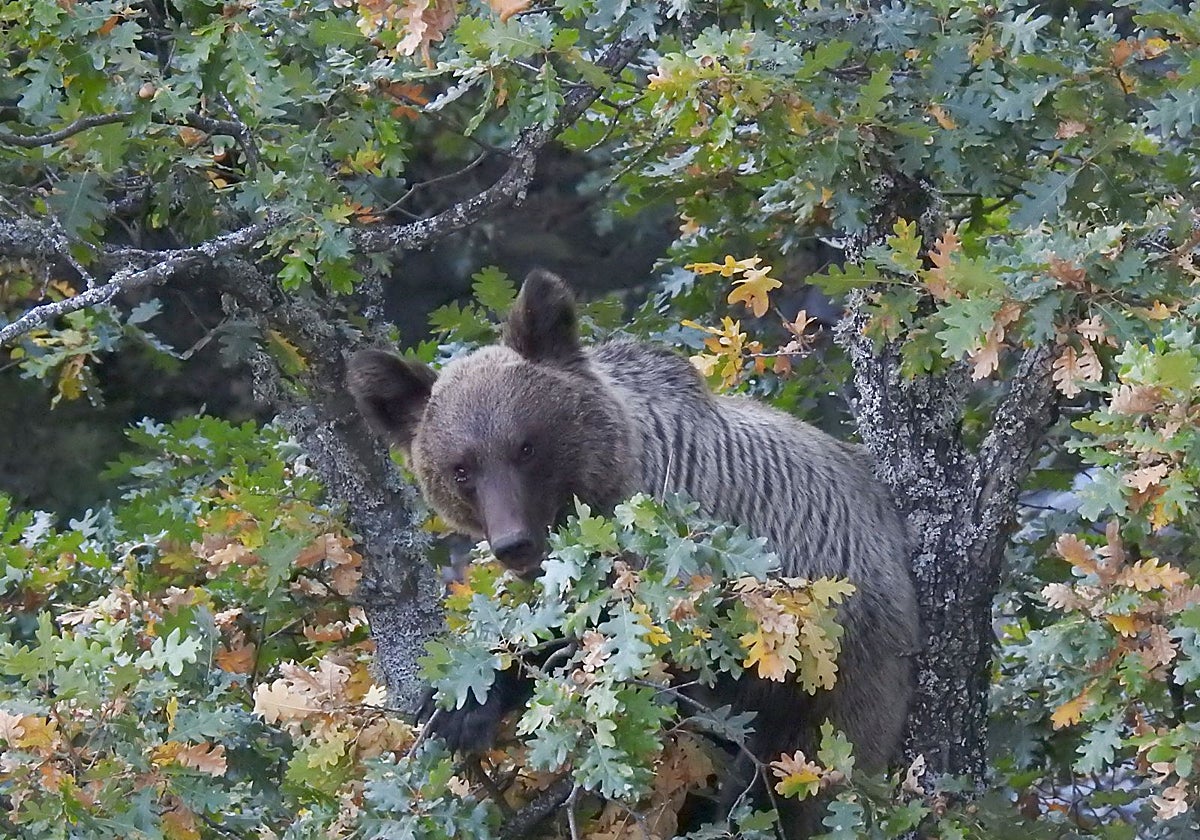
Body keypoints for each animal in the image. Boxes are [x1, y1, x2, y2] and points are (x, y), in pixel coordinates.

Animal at [348, 269, 920, 833]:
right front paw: (458, 704)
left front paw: (467, 704)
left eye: (525, 447)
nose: (514, 543)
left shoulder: (668, 547)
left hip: (834, 670)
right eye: (461, 469)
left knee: (794, 778)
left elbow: (607, 643)